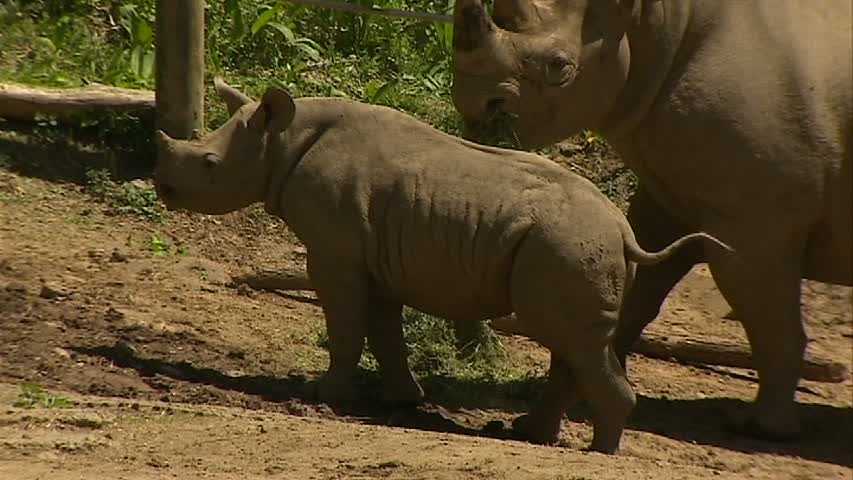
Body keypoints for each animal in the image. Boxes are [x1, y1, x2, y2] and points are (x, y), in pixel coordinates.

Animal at [155, 79, 724, 454]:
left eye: (209, 165)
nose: (162, 186)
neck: (282, 141)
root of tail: (623, 232)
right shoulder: (377, 250)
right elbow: (385, 329)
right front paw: (404, 399)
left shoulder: (336, 252)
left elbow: (347, 326)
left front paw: (324, 395)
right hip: (571, 245)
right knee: (572, 339)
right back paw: (530, 434)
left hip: (566, 243)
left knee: (569, 337)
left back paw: (599, 452)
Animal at [450, 0, 848, 440]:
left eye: (559, 66)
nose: (472, 104)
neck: (651, 24)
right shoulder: (670, 199)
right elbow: (626, 299)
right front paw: (545, 417)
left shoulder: (753, 220)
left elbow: (769, 319)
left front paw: (762, 428)